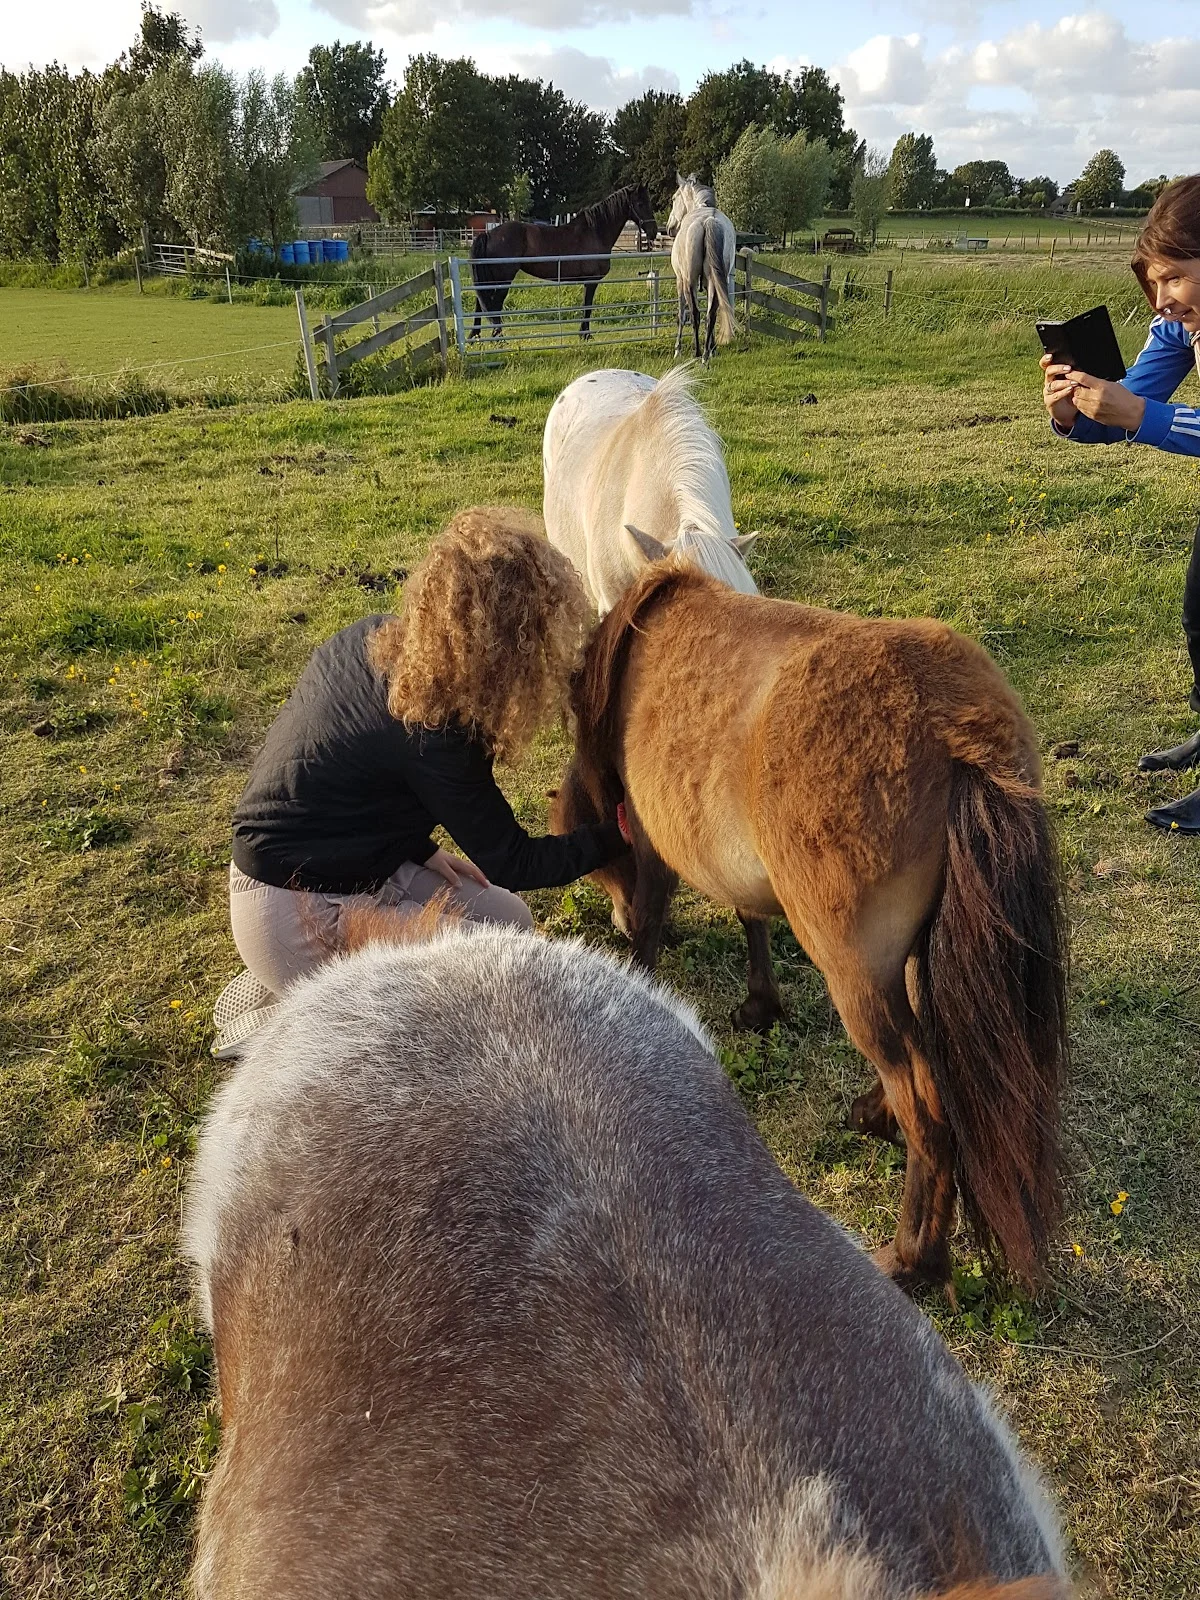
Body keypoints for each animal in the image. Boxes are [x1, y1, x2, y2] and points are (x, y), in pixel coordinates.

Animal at [469, 183, 658, 342]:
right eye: (640, 203)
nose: (653, 232)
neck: (595, 232)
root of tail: (489, 234)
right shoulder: (591, 281)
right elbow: (587, 306)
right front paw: (585, 335)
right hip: (503, 279)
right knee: (494, 305)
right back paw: (498, 337)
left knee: (481, 302)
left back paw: (475, 336)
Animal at [551, 563, 1069, 1295]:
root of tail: (958, 730)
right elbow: (749, 915)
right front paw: (760, 1004)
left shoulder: (653, 848)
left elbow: (649, 926)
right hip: (912, 959)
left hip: (856, 975)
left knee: (925, 1102)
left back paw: (912, 1257)